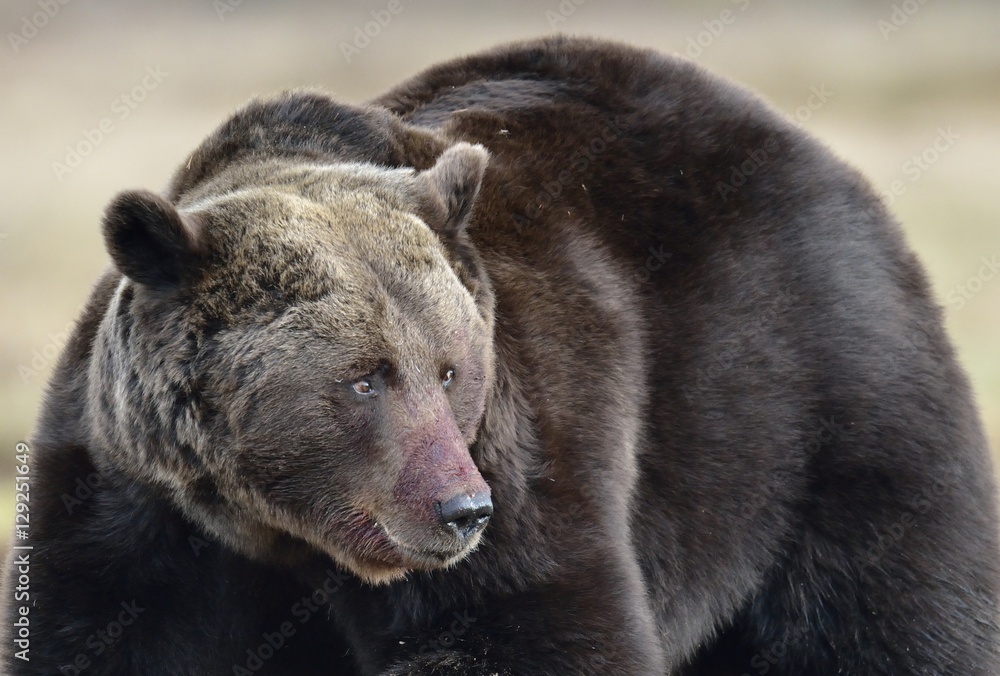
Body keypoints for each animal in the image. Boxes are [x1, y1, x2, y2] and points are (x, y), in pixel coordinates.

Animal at [5, 35, 1000, 676]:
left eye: (450, 368)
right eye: (364, 378)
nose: (461, 510)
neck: (270, 531)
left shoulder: (528, 453)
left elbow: (529, 624)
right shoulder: (131, 505)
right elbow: (96, 633)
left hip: (813, 411)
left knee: (895, 608)